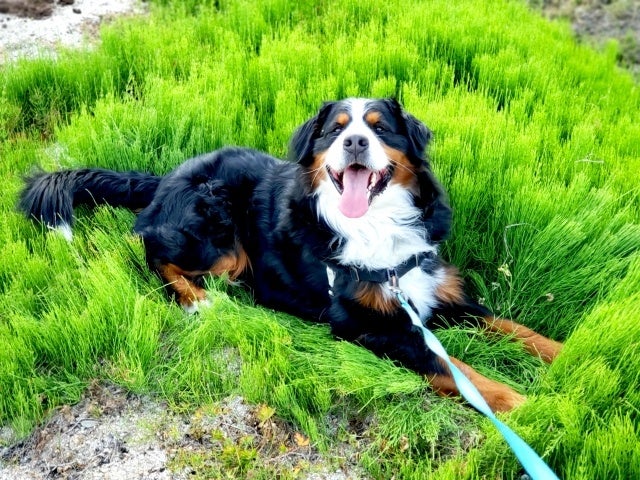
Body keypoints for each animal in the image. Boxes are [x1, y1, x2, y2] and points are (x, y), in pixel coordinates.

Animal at [19, 98, 562, 412]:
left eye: (381, 127)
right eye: (335, 130)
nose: (355, 142)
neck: (377, 225)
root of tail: (166, 178)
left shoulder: (434, 293)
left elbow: (515, 328)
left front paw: (565, 353)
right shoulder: (373, 325)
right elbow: (456, 370)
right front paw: (526, 405)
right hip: (220, 236)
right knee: (152, 251)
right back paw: (198, 300)